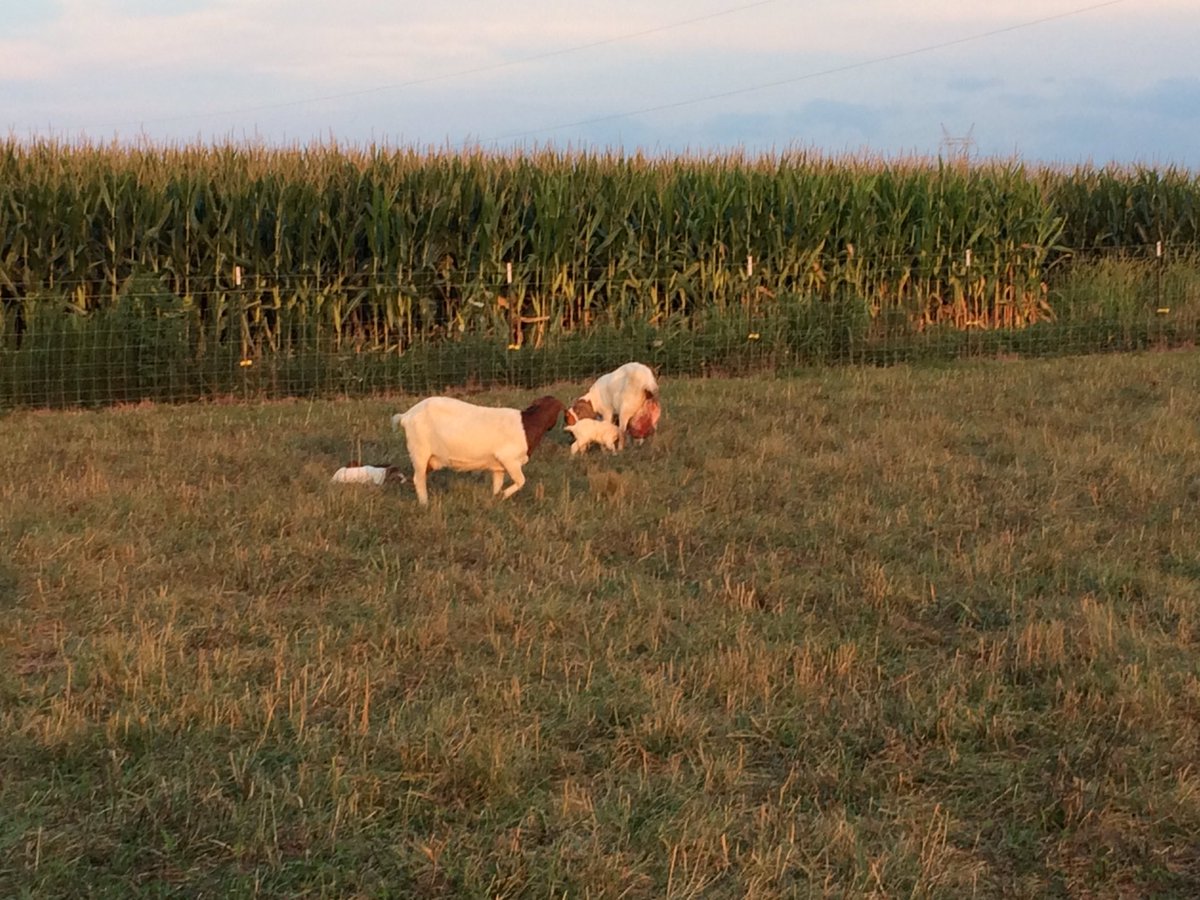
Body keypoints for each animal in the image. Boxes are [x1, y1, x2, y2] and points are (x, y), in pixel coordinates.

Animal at [391, 395, 564, 506]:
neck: (527, 425)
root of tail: (406, 415)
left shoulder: (499, 467)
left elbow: (497, 484)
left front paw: (495, 499)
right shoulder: (509, 459)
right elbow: (521, 480)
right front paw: (503, 495)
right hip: (420, 450)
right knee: (418, 479)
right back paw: (424, 503)